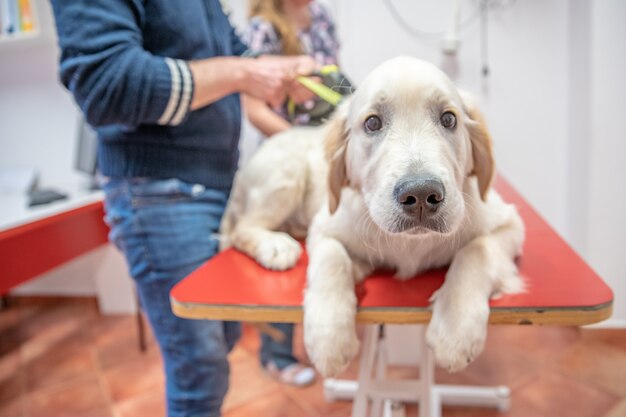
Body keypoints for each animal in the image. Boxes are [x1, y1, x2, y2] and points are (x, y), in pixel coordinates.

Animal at [222, 54, 524, 374]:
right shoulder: (325, 224)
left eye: (449, 119)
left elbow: (477, 251)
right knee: (243, 228)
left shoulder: (509, 223)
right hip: (286, 173)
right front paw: (329, 337)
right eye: (373, 123)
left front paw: (455, 329)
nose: (420, 195)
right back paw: (275, 246)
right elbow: (332, 259)